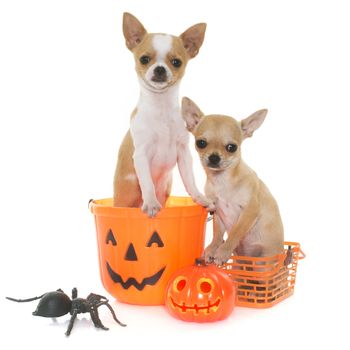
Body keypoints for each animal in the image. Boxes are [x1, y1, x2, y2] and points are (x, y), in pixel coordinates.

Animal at [115, 13, 213, 216]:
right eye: (144, 59)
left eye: (176, 62)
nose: (160, 68)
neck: (161, 108)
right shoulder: (141, 155)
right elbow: (147, 183)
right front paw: (151, 203)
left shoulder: (183, 153)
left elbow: (190, 180)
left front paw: (199, 198)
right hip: (124, 197)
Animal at [182, 97, 284, 264]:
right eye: (201, 143)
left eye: (232, 147)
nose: (214, 157)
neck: (223, 181)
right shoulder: (217, 211)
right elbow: (217, 233)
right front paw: (213, 248)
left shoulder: (250, 211)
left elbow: (235, 232)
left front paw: (223, 252)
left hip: (265, 260)